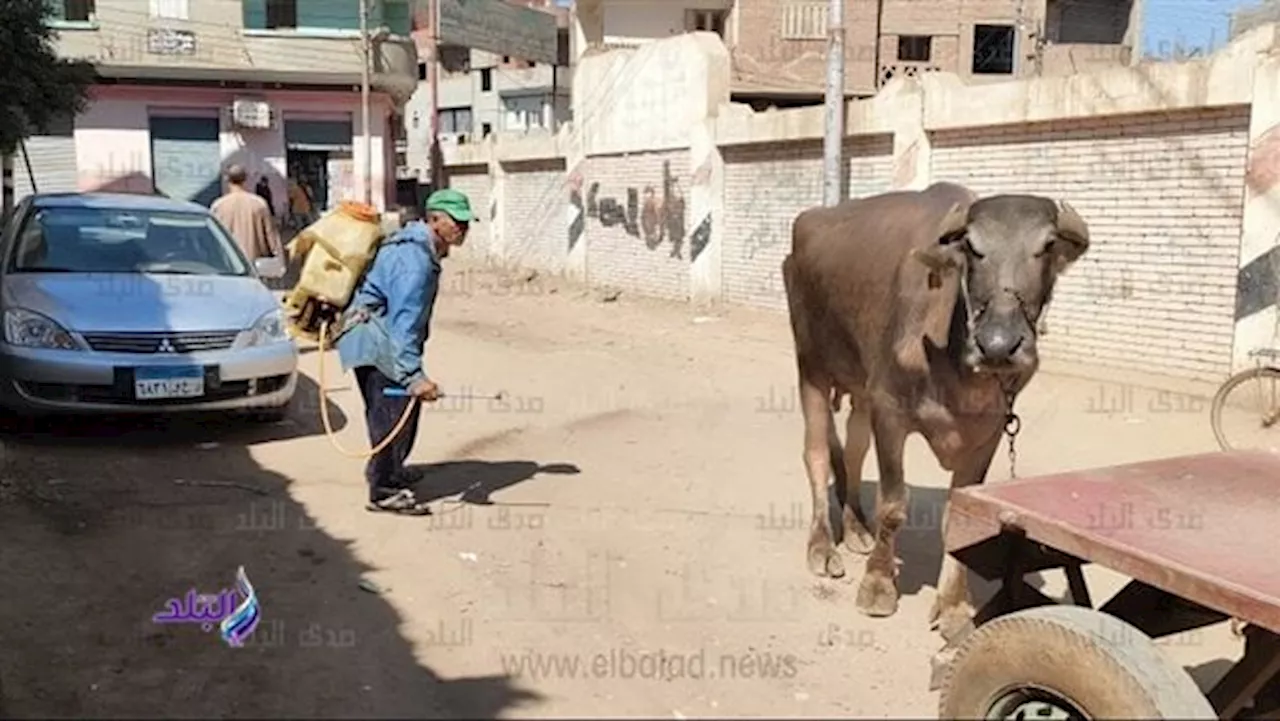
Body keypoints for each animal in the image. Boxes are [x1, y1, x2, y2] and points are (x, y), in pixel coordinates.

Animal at [778, 183, 1090, 635]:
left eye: (1047, 246)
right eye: (973, 248)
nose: (998, 345)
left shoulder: (988, 432)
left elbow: (959, 520)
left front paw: (953, 604)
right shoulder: (889, 411)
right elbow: (893, 505)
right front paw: (878, 585)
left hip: (860, 389)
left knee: (852, 454)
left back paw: (855, 528)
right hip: (812, 367)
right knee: (817, 454)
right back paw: (821, 546)